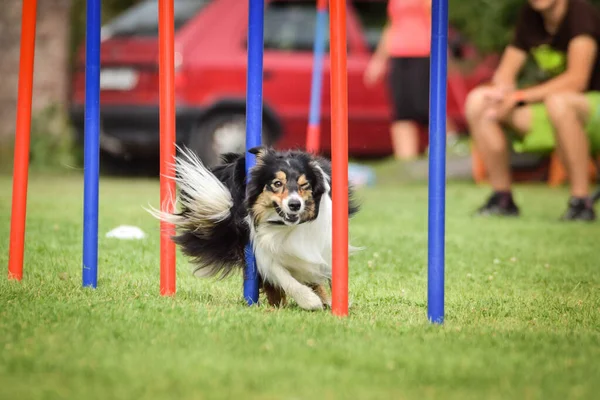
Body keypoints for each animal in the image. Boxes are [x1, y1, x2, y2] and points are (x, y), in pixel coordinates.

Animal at [150, 145, 358, 310]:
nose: (294, 205)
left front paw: (332, 300)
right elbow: (282, 275)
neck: (286, 226)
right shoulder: (263, 248)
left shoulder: (322, 243)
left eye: (304, 185)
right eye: (277, 183)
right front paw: (308, 300)